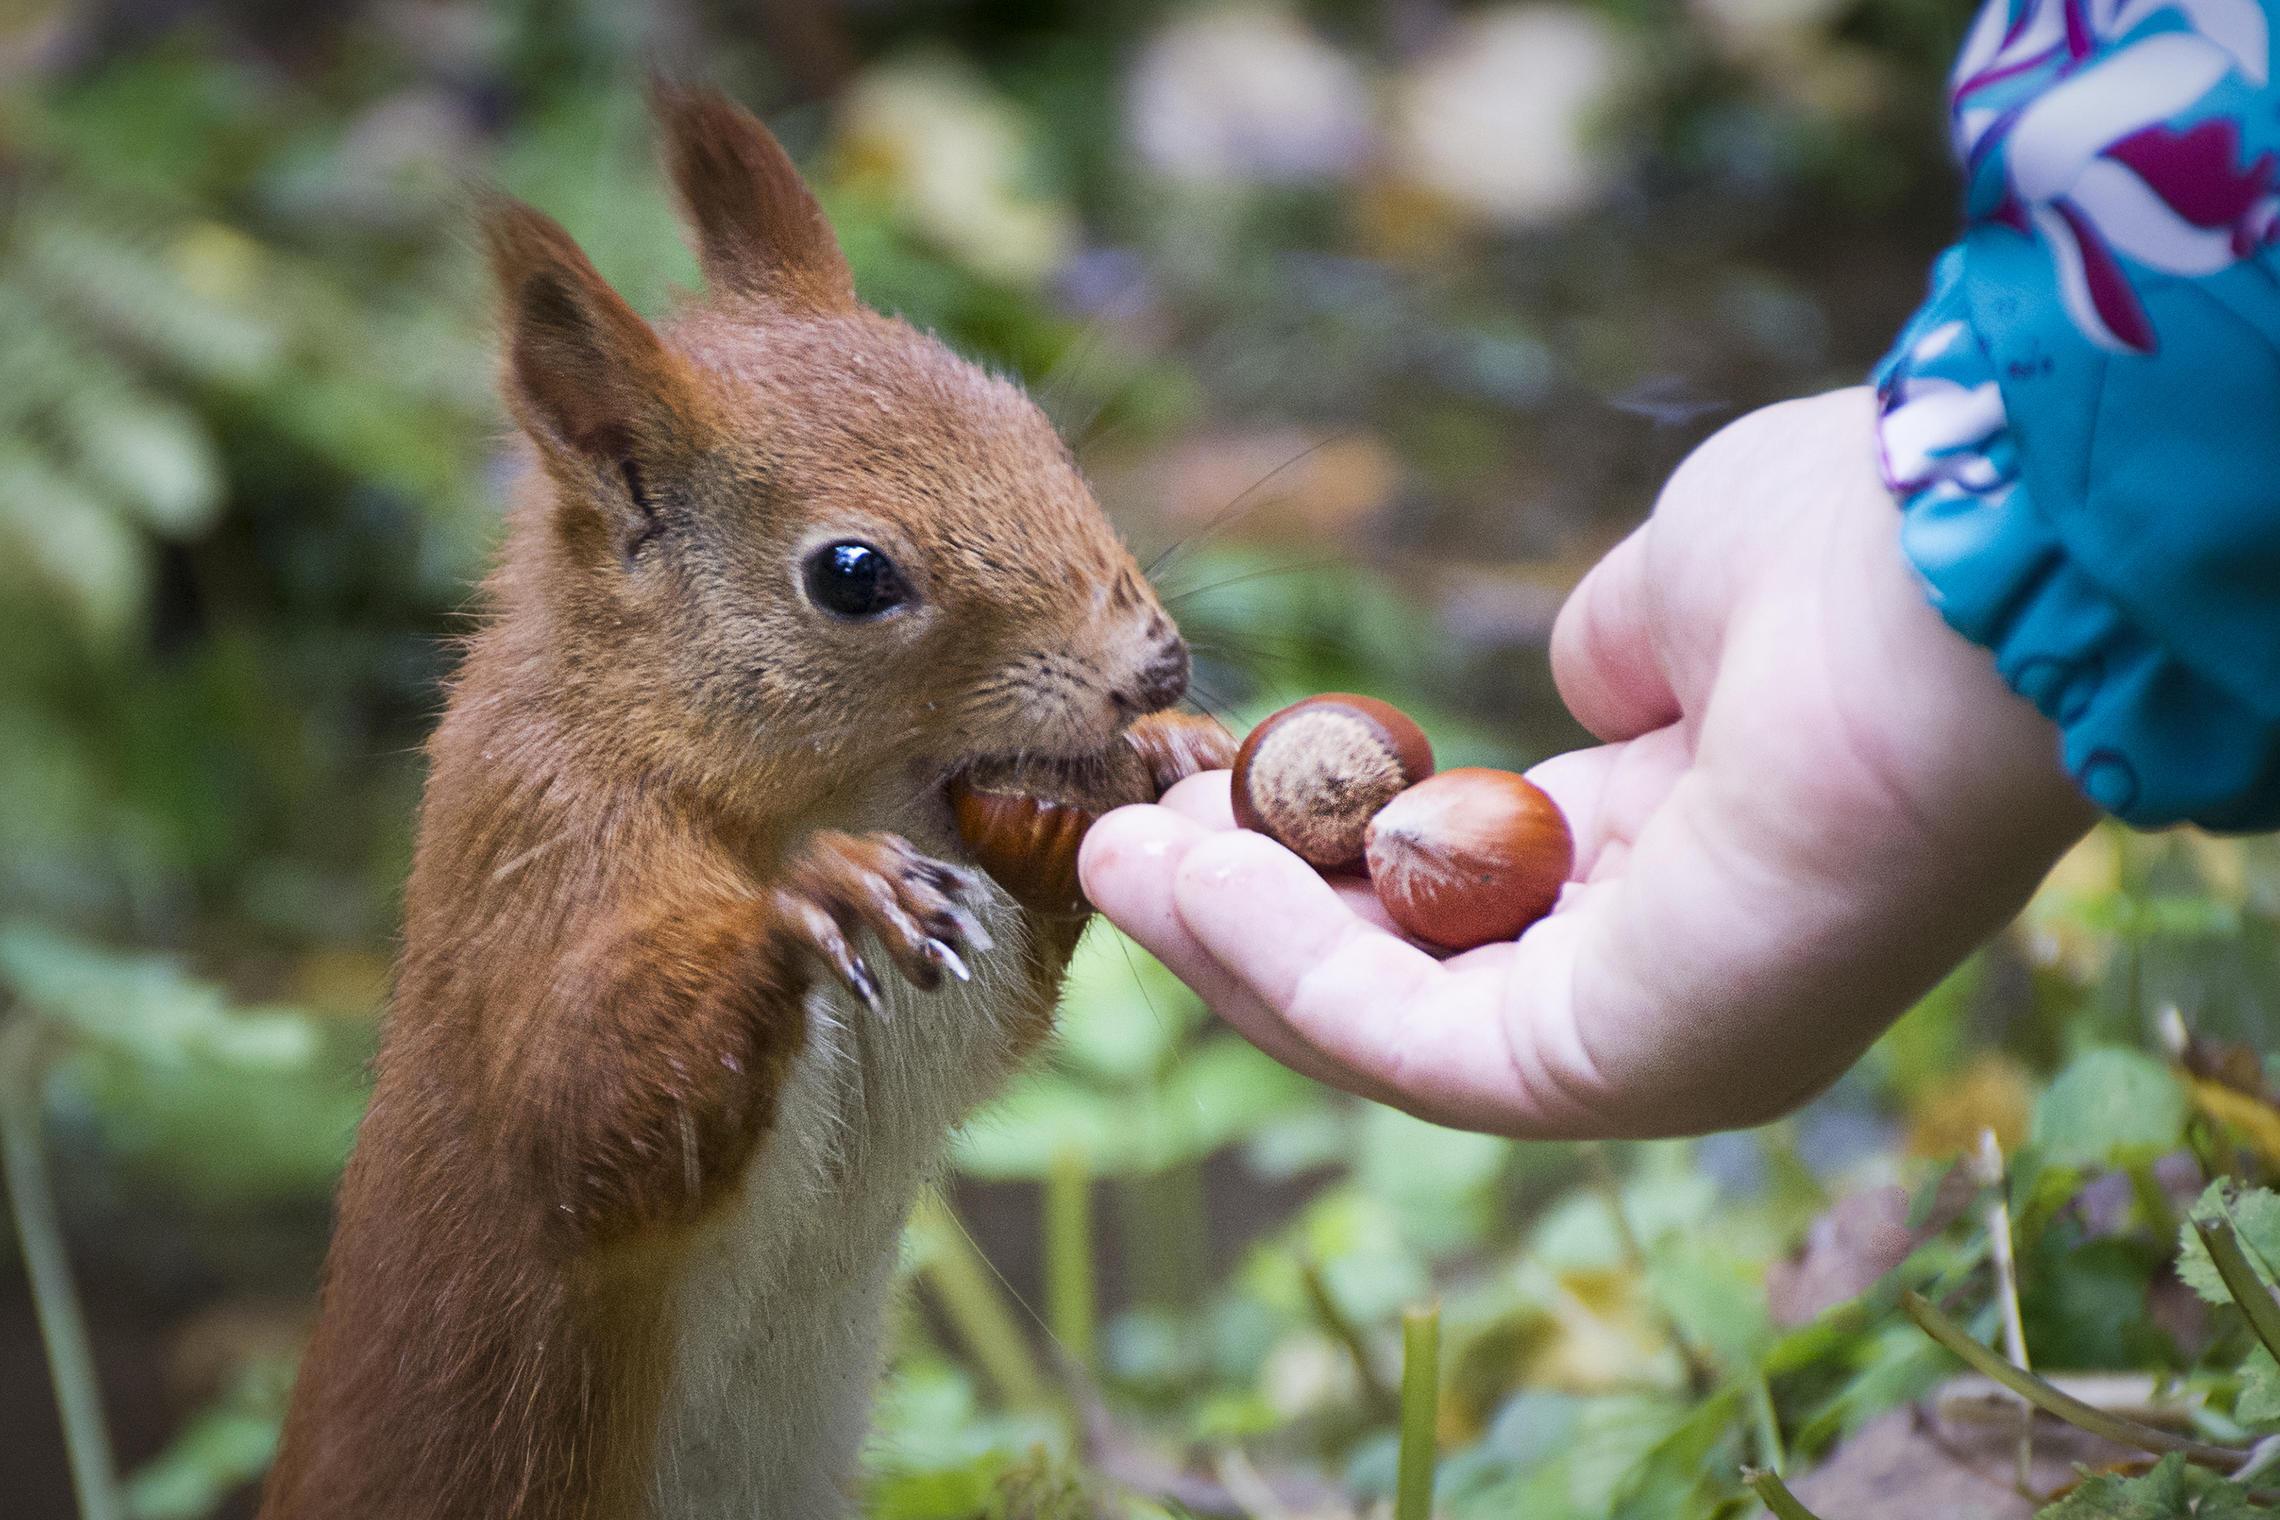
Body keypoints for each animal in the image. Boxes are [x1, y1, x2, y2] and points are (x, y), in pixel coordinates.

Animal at [261, 86, 1231, 1520]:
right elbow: (582, 1116)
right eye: (852, 574)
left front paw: (1173, 746)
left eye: (1031, 424)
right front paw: (817, 895)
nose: (1152, 669)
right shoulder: (535, 853)